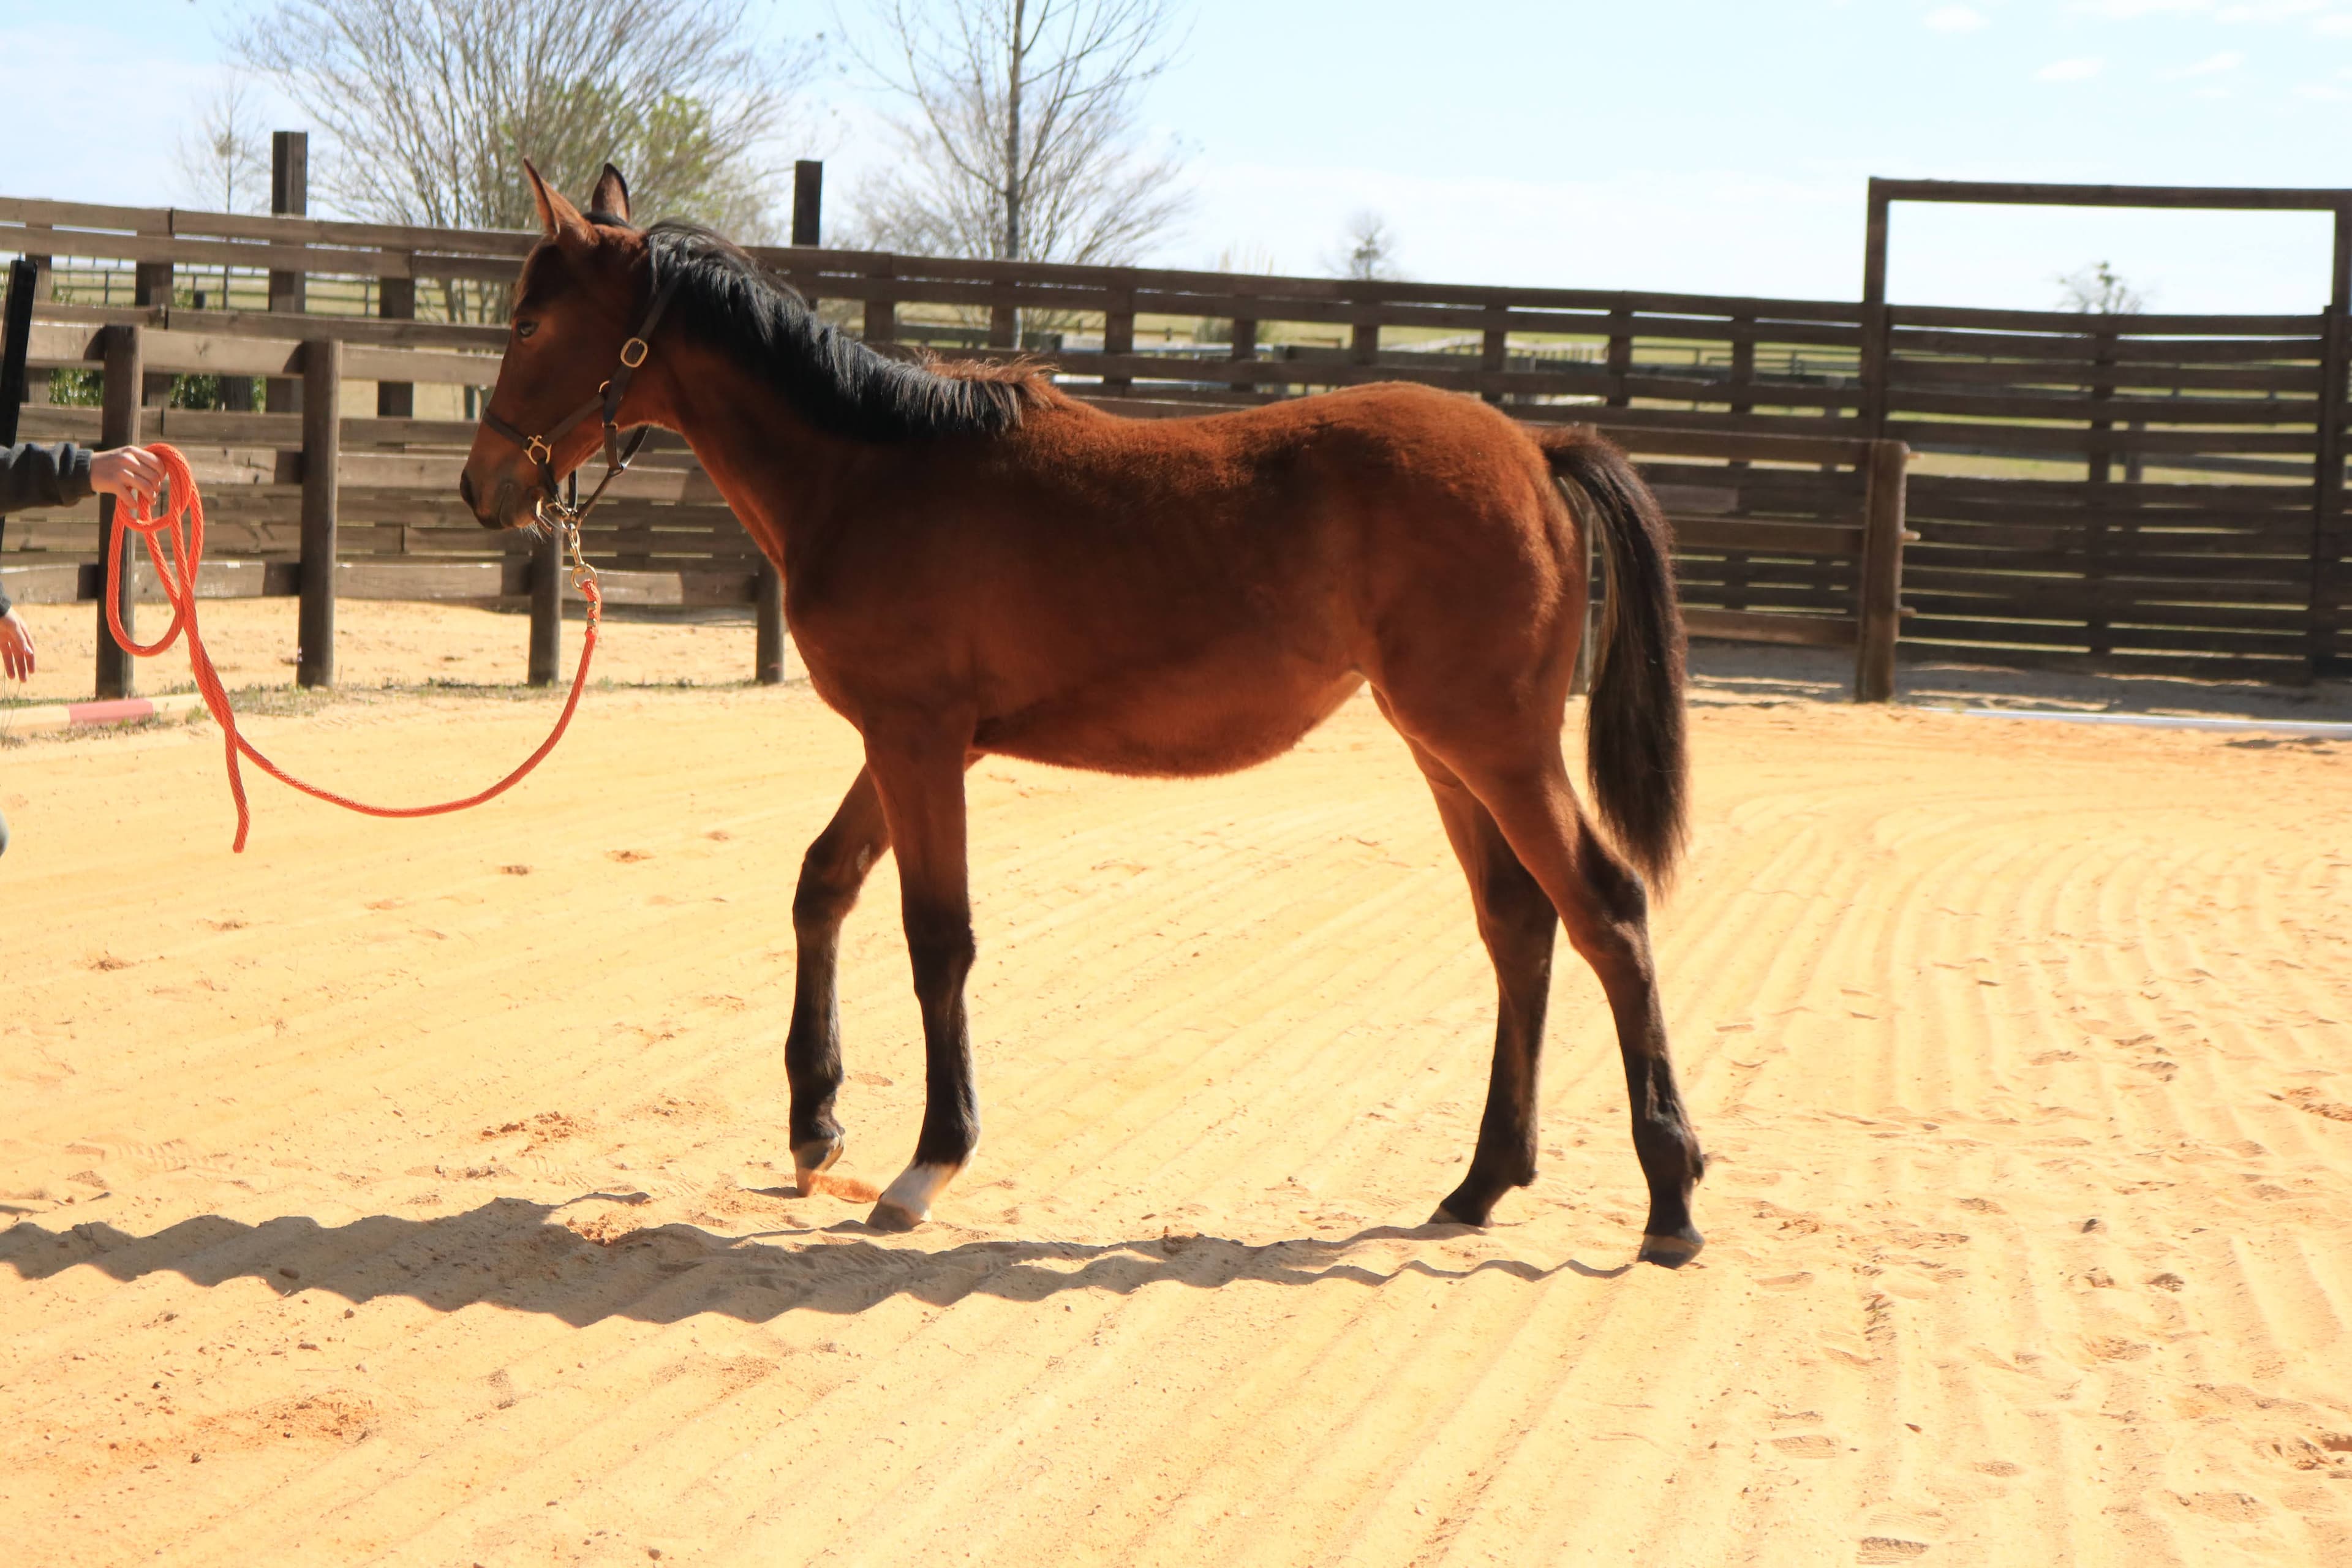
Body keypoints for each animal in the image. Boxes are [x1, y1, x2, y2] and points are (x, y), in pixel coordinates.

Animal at [460, 163, 1709, 1265]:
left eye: (529, 323)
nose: (483, 489)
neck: (870, 472)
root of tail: (1536, 449)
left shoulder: (920, 743)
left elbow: (937, 936)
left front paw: (929, 1163)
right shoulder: (908, 740)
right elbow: (825, 884)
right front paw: (816, 1126)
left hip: (1498, 751)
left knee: (1607, 914)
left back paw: (1669, 1199)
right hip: (1446, 755)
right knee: (1519, 926)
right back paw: (1483, 1181)